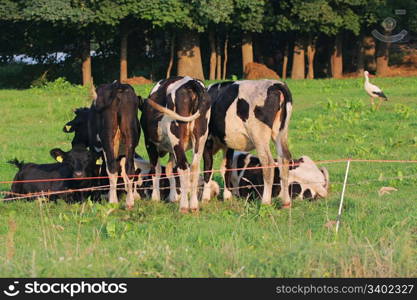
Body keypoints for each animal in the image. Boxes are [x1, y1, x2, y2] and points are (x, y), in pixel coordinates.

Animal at [140, 77, 211, 213]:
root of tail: (191, 82)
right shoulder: (171, 149)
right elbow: (170, 170)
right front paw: (173, 197)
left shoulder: (149, 143)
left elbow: (156, 170)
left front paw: (155, 198)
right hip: (201, 136)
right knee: (195, 167)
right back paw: (194, 205)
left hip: (176, 135)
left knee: (184, 167)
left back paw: (184, 206)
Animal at [202, 79, 292, 209]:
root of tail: (275, 84)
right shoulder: (228, 144)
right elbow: (226, 168)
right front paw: (228, 197)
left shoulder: (206, 142)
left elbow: (208, 169)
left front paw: (205, 198)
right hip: (281, 131)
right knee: (284, 159)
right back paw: (286, 202)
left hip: (259, 134)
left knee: (268, 162)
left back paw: (265, 202)